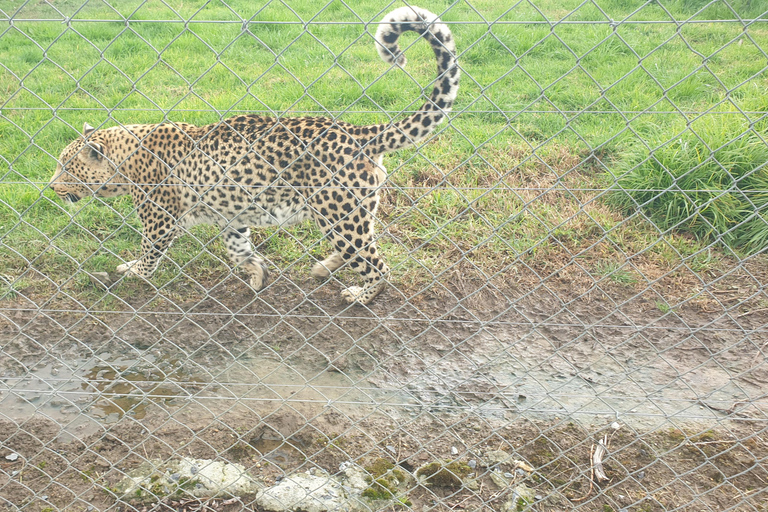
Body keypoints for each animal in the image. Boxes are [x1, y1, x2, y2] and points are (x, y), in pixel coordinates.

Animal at [49, 6, 460, 305]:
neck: (125, 158)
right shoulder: (231, 217)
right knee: (361, 247)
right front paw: (258, 272)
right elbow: (239, 249)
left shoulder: (159, 221)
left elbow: (149, 254)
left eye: (67, 167)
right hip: (352, 211)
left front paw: (132, 272)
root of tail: (357, 132)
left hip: (340, 215)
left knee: (378, 265)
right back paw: (322, 269)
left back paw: (361, 296)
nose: (51, 187)